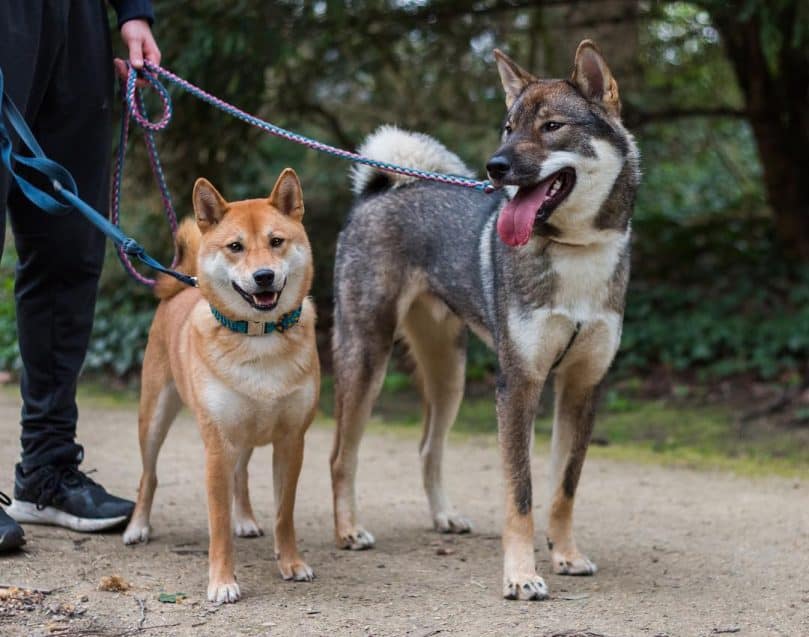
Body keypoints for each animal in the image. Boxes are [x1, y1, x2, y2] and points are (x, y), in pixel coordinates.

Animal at [123, 168, 318, 600]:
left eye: (276, 241)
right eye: (235, 247)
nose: (264, 276)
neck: (258, 335)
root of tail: (182, 285)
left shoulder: (291, 440)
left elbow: (284, 514)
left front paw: (291, 563)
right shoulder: (217, 446)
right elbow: (218, 525)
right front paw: (223, 582)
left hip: (244, 434)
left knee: (241, 476)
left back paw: (245, 518)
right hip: (154, 417)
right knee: (148, 476)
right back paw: (137, 526)